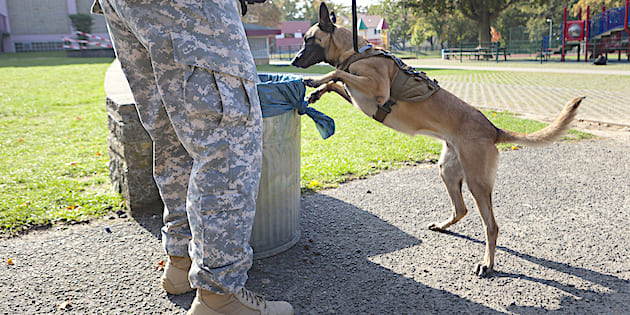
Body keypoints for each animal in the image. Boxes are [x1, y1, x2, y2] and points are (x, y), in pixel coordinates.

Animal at [292, 3, 588, 278]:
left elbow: (339, 74)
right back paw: (445, 226)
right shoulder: (359, 96)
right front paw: (317, 91)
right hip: (448, 171)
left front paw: (314, 80)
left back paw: (488, 264)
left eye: (308, 39)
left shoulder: (376, 89)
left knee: (491, 225)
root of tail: (492, 129)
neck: (355, 52)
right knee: (461, 210)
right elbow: (337, 81)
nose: (294, 61)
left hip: (477, 183)